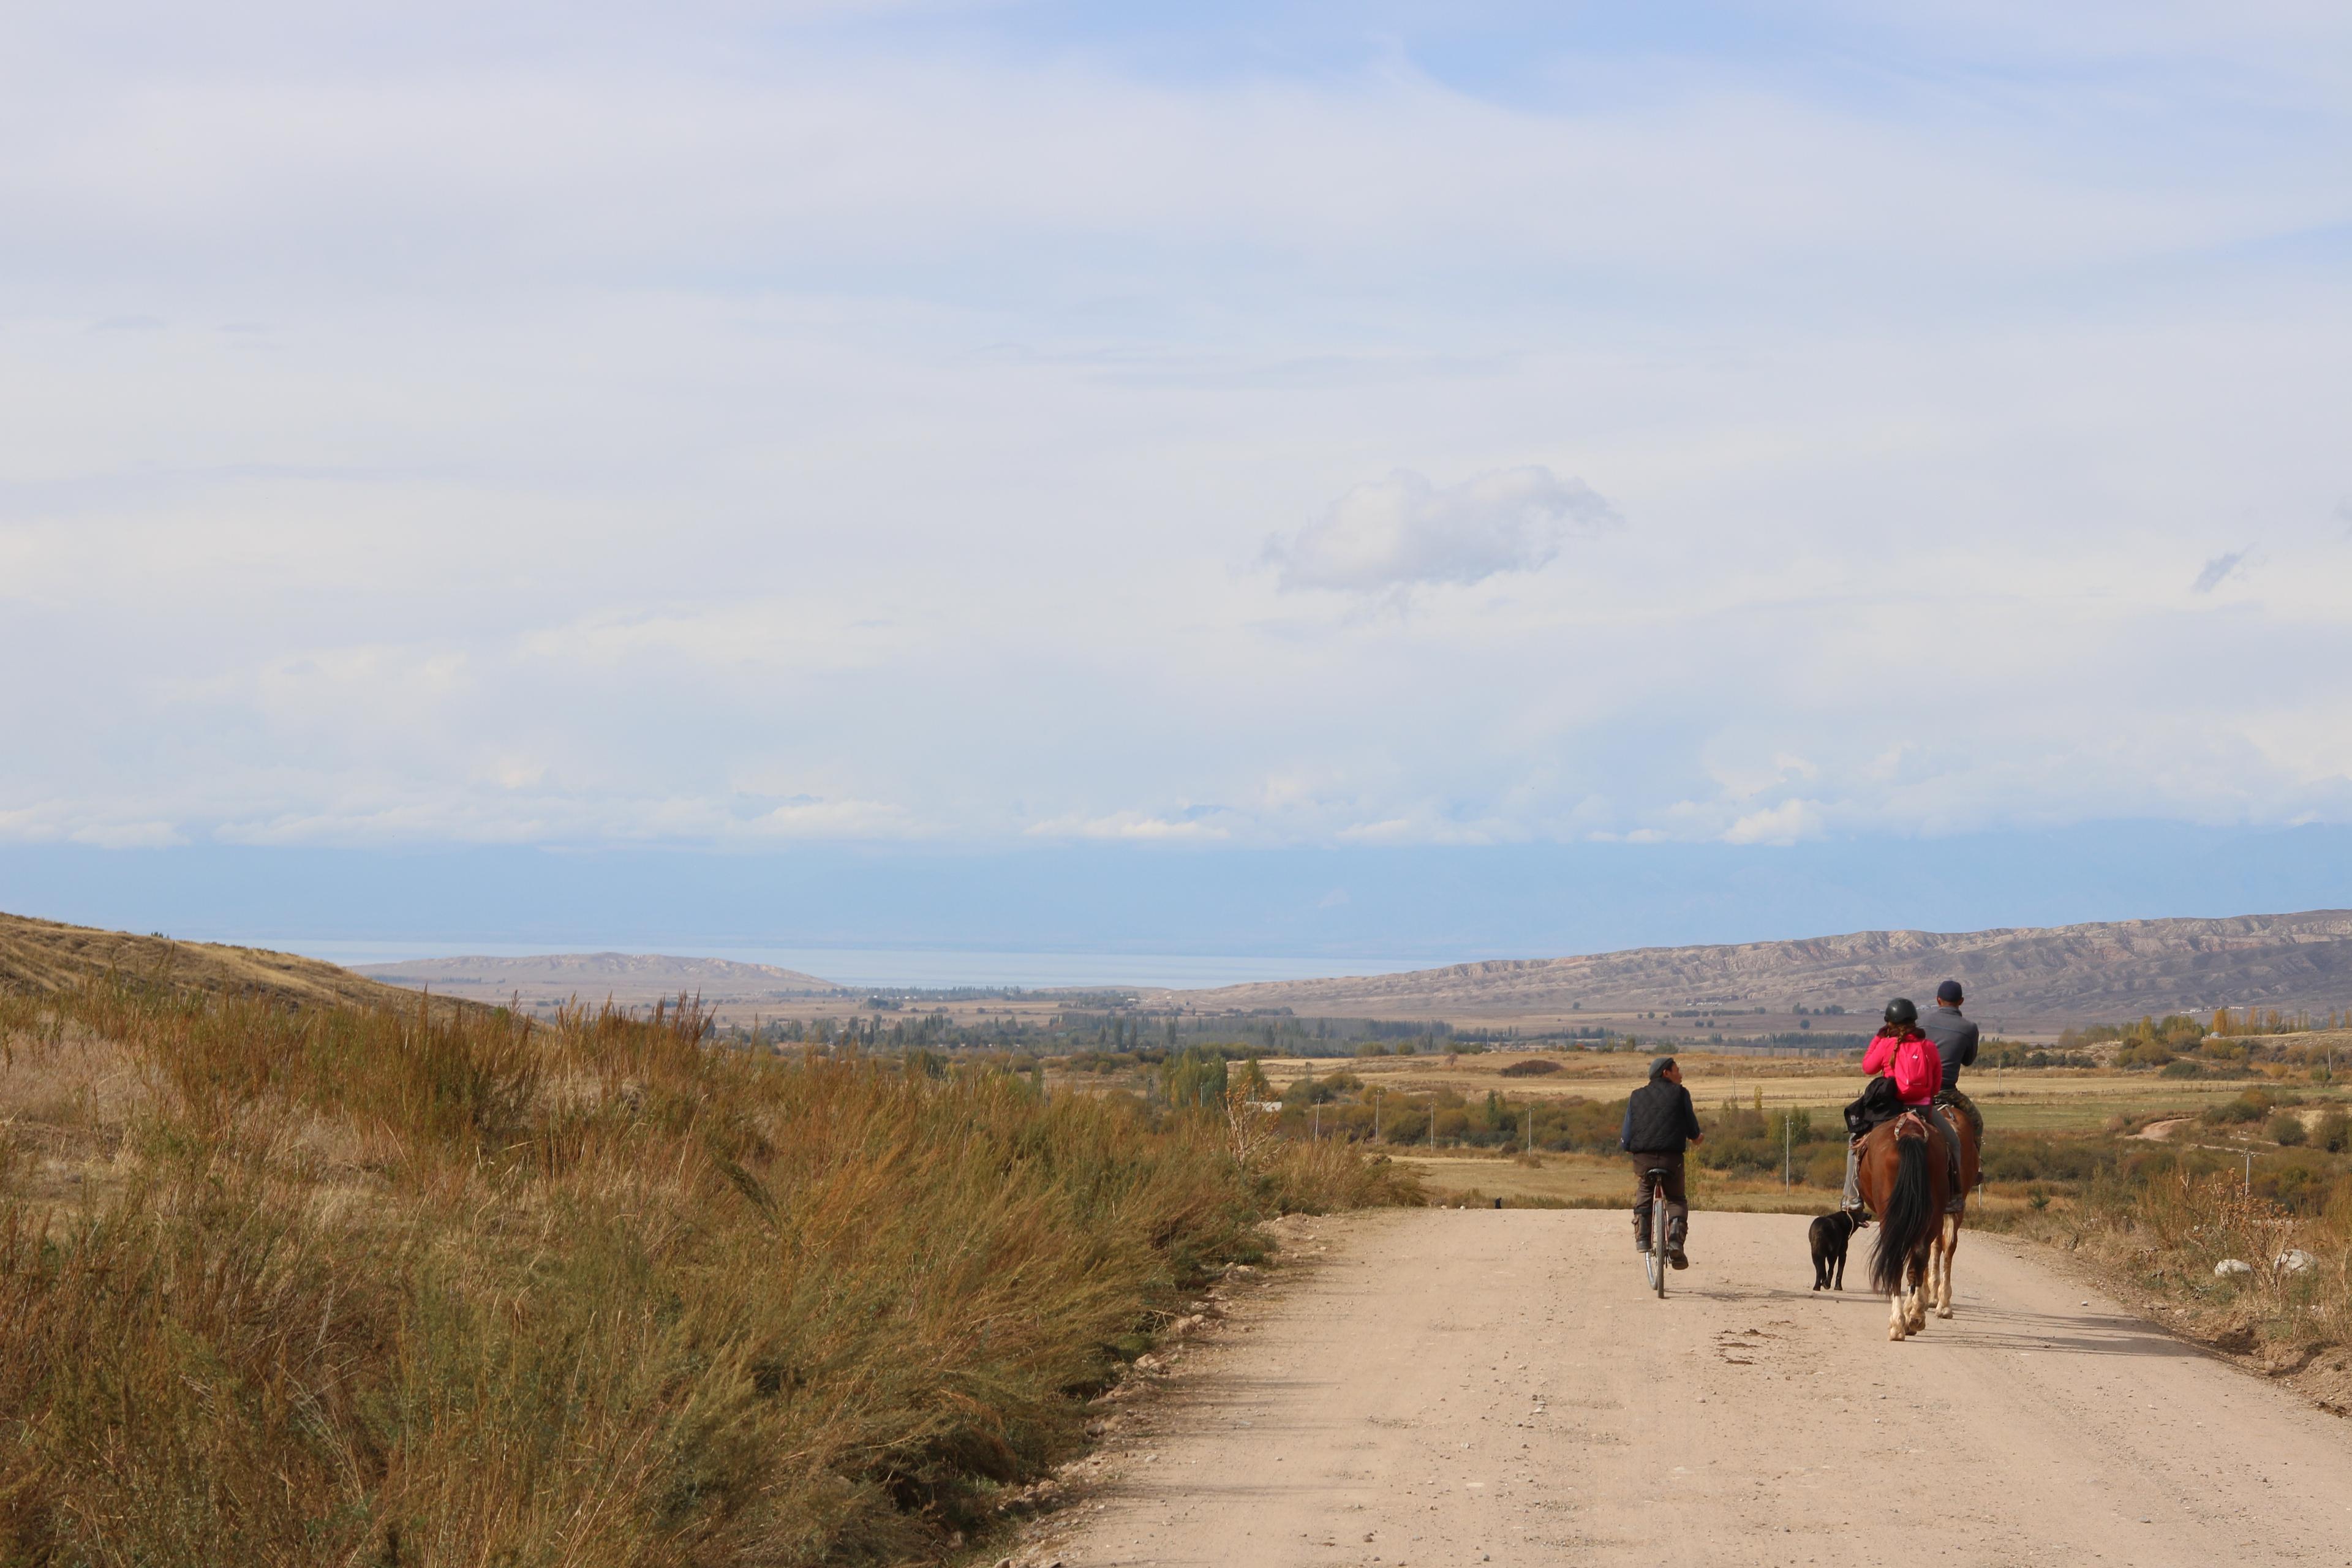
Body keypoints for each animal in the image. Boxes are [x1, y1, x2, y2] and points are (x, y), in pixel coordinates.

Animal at [1806, 1213, 1863, 1297]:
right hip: (1832, 1254)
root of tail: (1821, 1231)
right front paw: (1838, 1287)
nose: (1869, 1215)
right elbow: (1840, 1272)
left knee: (1820, 1270)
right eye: (1860, 1212)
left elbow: (1823, 1270)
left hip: (1816, 1254)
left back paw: (1818, 1287)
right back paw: (1827, 1284)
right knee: (1831, 1270)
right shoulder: (1843, 1254)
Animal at [1853, 1109, 1947, 1344]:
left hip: (1890, 1218)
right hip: (1932, 1217)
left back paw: (1897, 1324)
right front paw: (1913, 1313)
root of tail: (1911, 1135)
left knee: (1895, 1260)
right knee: (1918, 1257)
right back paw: (1915, 1317)